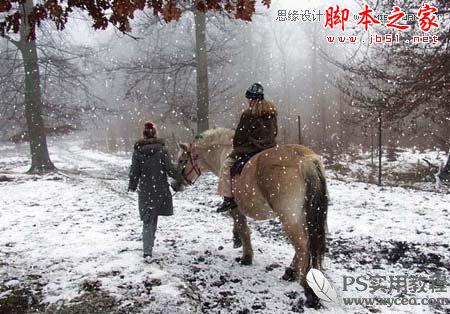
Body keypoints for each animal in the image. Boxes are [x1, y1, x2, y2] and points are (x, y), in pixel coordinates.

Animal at [178, 128, 328, 310]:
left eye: (182, 160)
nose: (174, 184)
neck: (224, 153)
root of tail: (303, 158)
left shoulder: (235, 209)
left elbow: (243, 229)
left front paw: (246, 256)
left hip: (290, 218)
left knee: (302, 246)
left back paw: (307, 289)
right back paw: (292, 273)